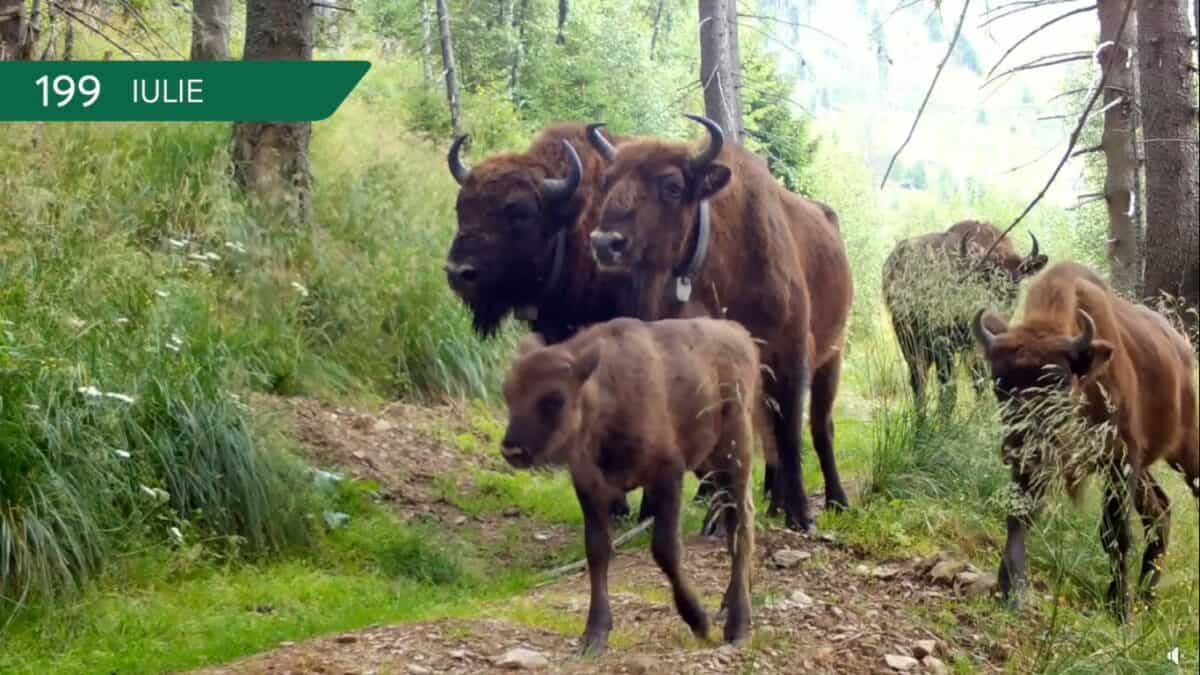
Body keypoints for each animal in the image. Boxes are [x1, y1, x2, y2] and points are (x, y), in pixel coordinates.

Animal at [501, 314, 753, 653]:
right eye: (508, 391)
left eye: (554, 399)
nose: (511, 449)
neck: (604, 398)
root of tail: (740, 335)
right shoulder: (590, 487)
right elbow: (597, 551)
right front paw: (593, 635)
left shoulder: (667, 476)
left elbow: (665, 549)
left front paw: (699, 621)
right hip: (709, 465)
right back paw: (730, 607)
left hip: (734, 455)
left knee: (740, 527)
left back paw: (737, 625)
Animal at [588, 112, 854, 528]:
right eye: (607, 179)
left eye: (672, 186)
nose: (605, 242)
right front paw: (718, 517)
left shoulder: (791, 354)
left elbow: (791, 433)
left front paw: (801, 515)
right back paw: (773, 502)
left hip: (833, 355)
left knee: (819, 427)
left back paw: (834, 500)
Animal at [888, 219, 1046, 415]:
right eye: (982, 279)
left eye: (1015, 283)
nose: (994, 322)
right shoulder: (943, 346)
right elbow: (948, 389)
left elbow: (980, 381)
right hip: (908, 340)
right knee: (919, 379)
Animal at [974, 260, 1200, 619]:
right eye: (1000, 382)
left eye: (1058, 380)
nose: (1017, 446)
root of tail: (1182, 349)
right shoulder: (1037, 467)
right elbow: (1020, 517)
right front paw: (1011, 589)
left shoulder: (1120, 458)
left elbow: (1115, 534)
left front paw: (1120, 609)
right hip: (1141, 468)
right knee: (1159, 511)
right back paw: (1148, 598)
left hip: (1183, 451)